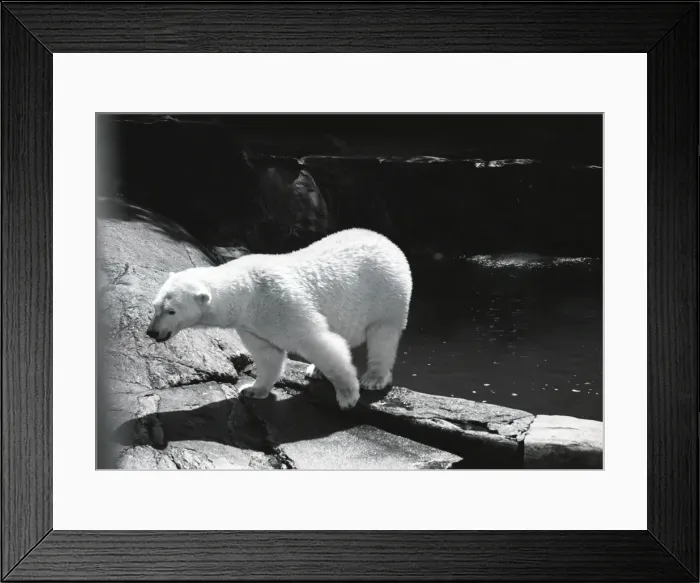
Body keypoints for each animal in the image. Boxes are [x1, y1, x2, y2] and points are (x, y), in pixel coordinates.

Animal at [146, 228, 413, 410]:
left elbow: (316, 340)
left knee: (382, 335)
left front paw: (347, 396)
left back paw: (374, 378)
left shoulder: (281, 303)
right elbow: (268, 354)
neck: (248, 292)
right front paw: (252, 390)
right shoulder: (251, 324)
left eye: (171, 311)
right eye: (156, 307)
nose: (152, 332)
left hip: (386, 293)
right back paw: (315, 370)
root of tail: (386, 241)